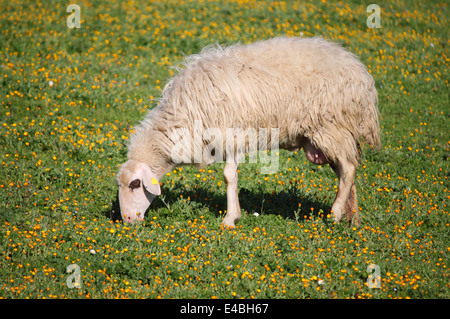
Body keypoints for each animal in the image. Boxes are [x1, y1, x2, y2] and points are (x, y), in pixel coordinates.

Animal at [116, 36, 380, 228]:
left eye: (135, 184)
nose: (127, 221)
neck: (182, 117)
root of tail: (360, 72)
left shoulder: (231, 135)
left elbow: (228, 176)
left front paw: (230, 219)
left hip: (331, 125)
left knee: (348, 170)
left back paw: (334, 215)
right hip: (333, 134)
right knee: (347, 170)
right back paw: (352, 219)